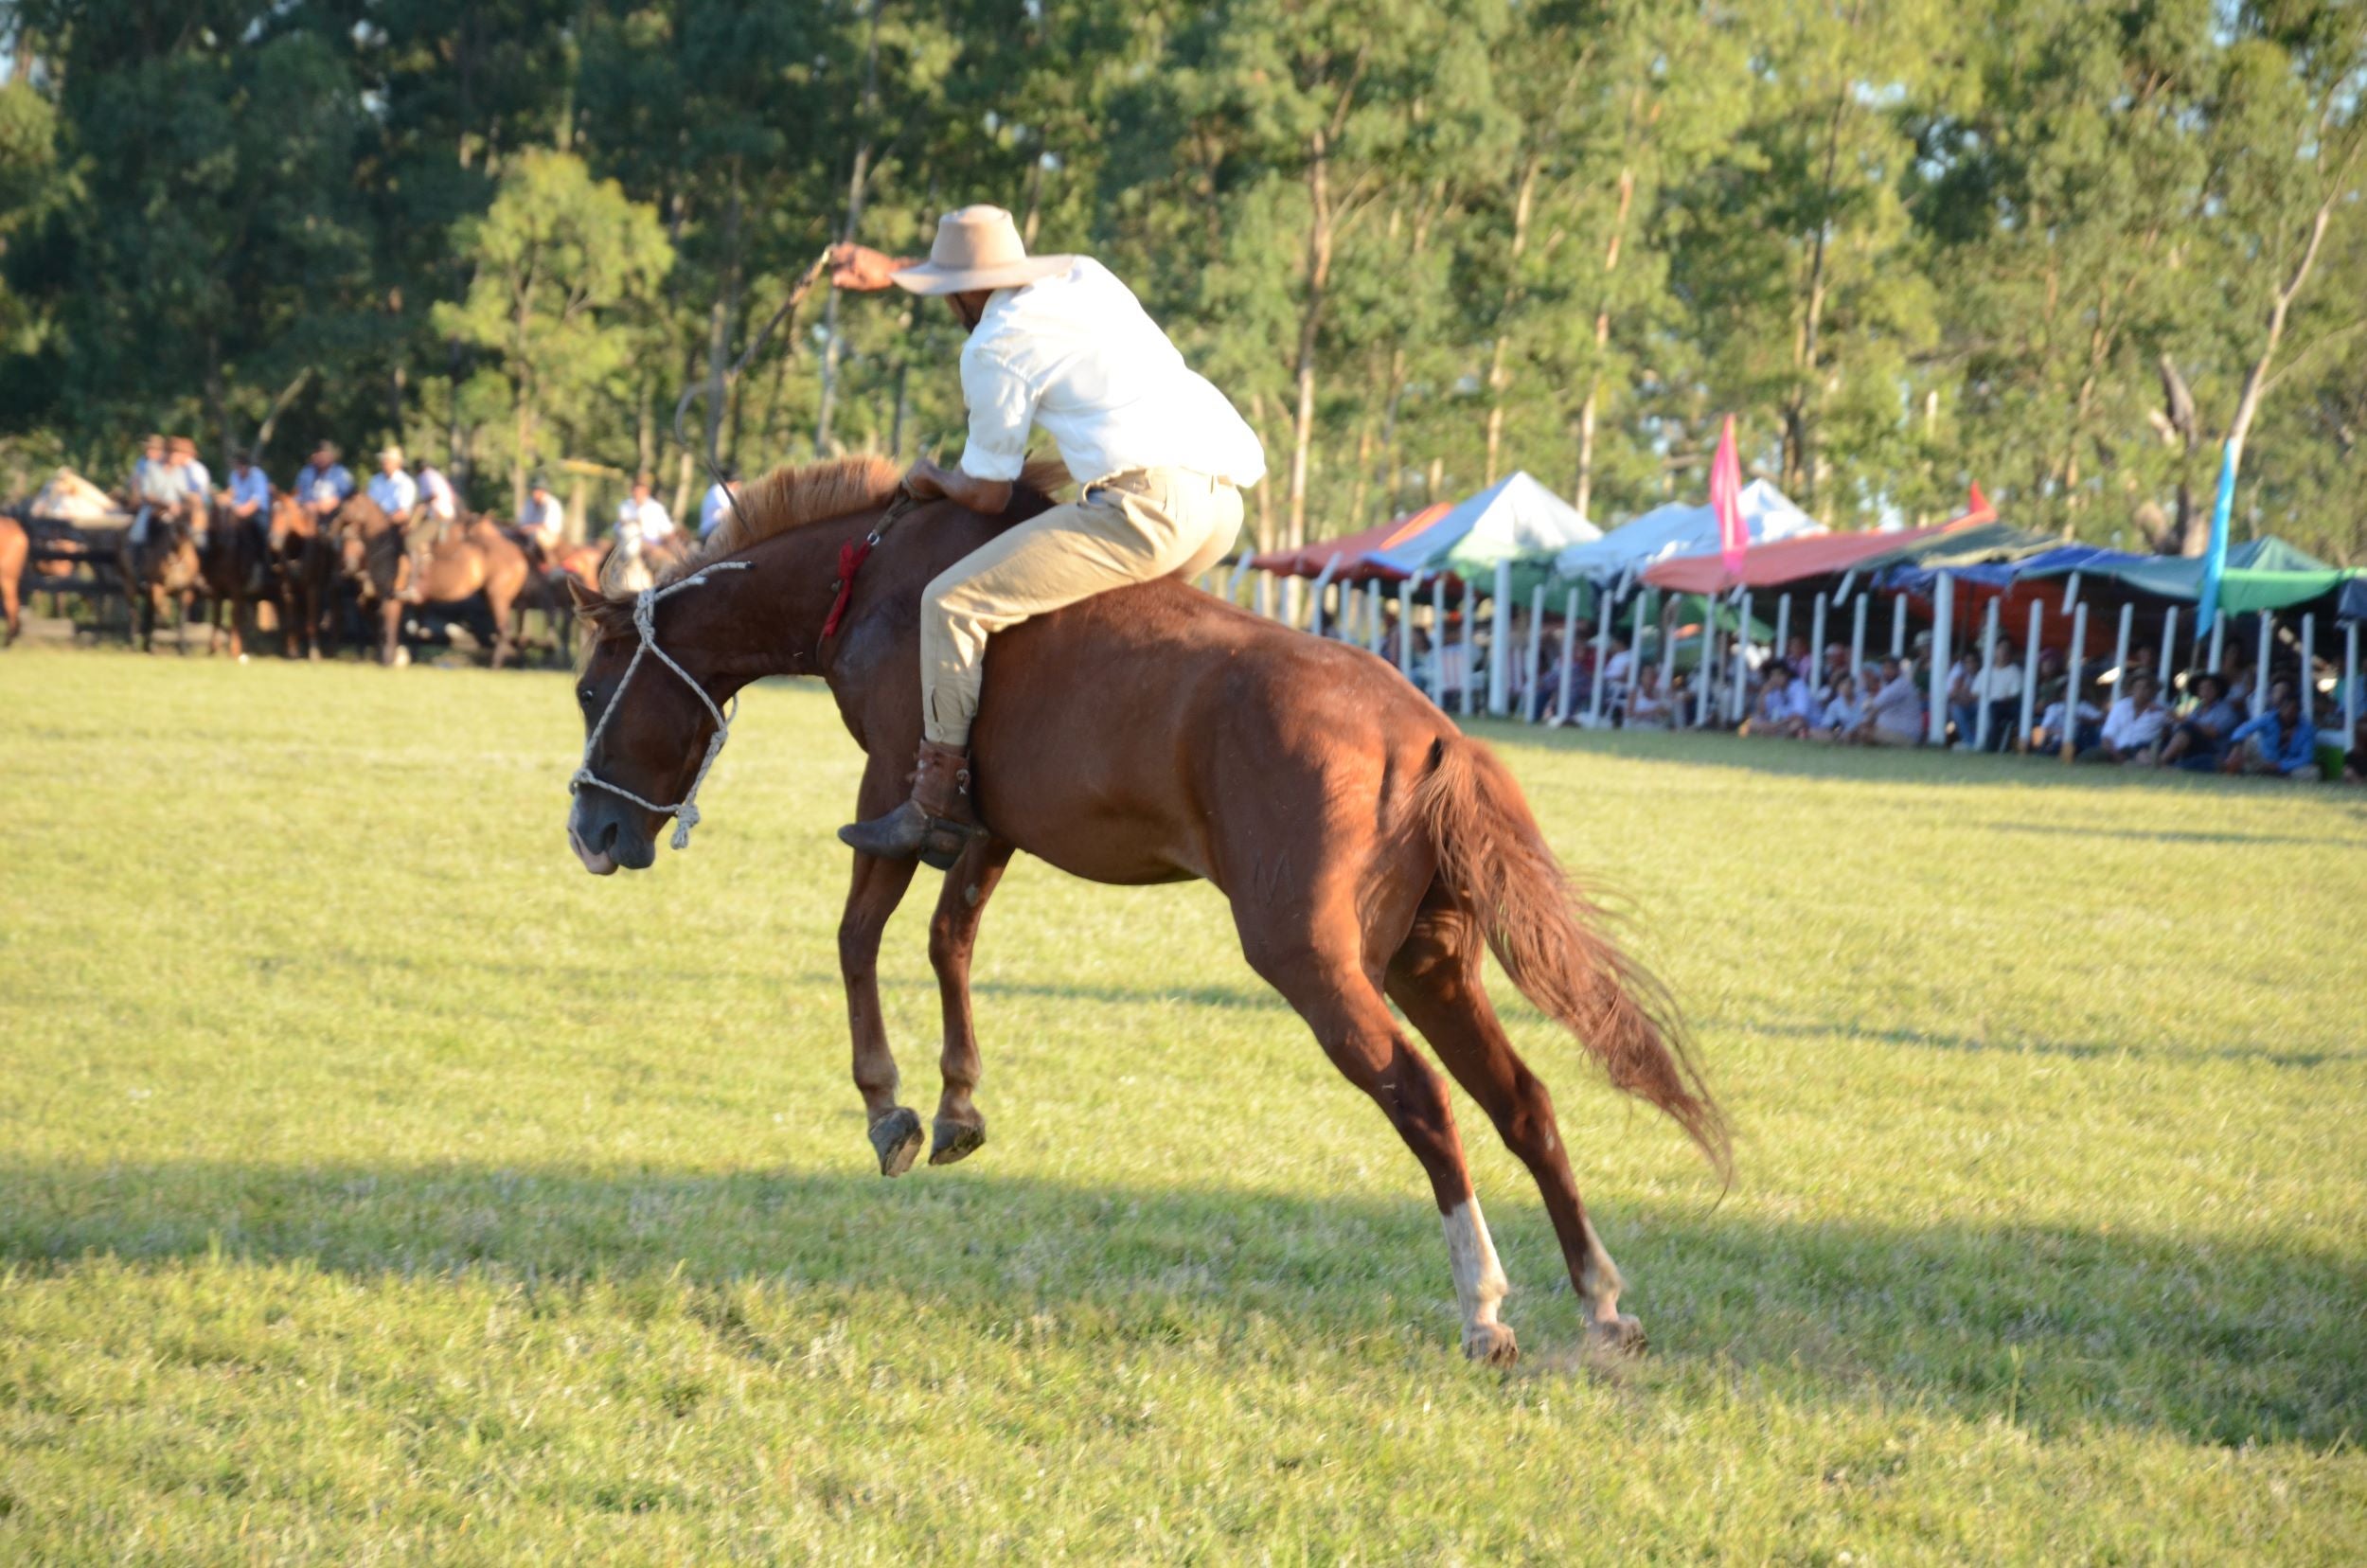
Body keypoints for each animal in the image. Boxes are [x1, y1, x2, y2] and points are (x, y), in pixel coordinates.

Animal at [336, 497, 530, 668]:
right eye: (343, 539)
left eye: (355, 538)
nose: (348, 566)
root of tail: (519, 555)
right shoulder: (381, 598)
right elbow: (396, 628)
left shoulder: (392, 598)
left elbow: (389, 628)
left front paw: (388, 660)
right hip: (489, 596)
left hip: (497, 597)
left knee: (503, 630)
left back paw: (495, 664)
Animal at [563, 461, 1733, 1373]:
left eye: (585, 690)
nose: (589, 828)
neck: (867, 580)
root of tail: (1431, 730)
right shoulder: (988, 827)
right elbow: (949, 942)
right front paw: (957, 1103)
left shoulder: (893, 784)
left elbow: (859, 937)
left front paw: (889, 1105)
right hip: (1428, 962)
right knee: (1520, 1100)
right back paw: (1600, 1303)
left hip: (1313, 960)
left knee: (1423, 1099)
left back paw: (1483, 1308)